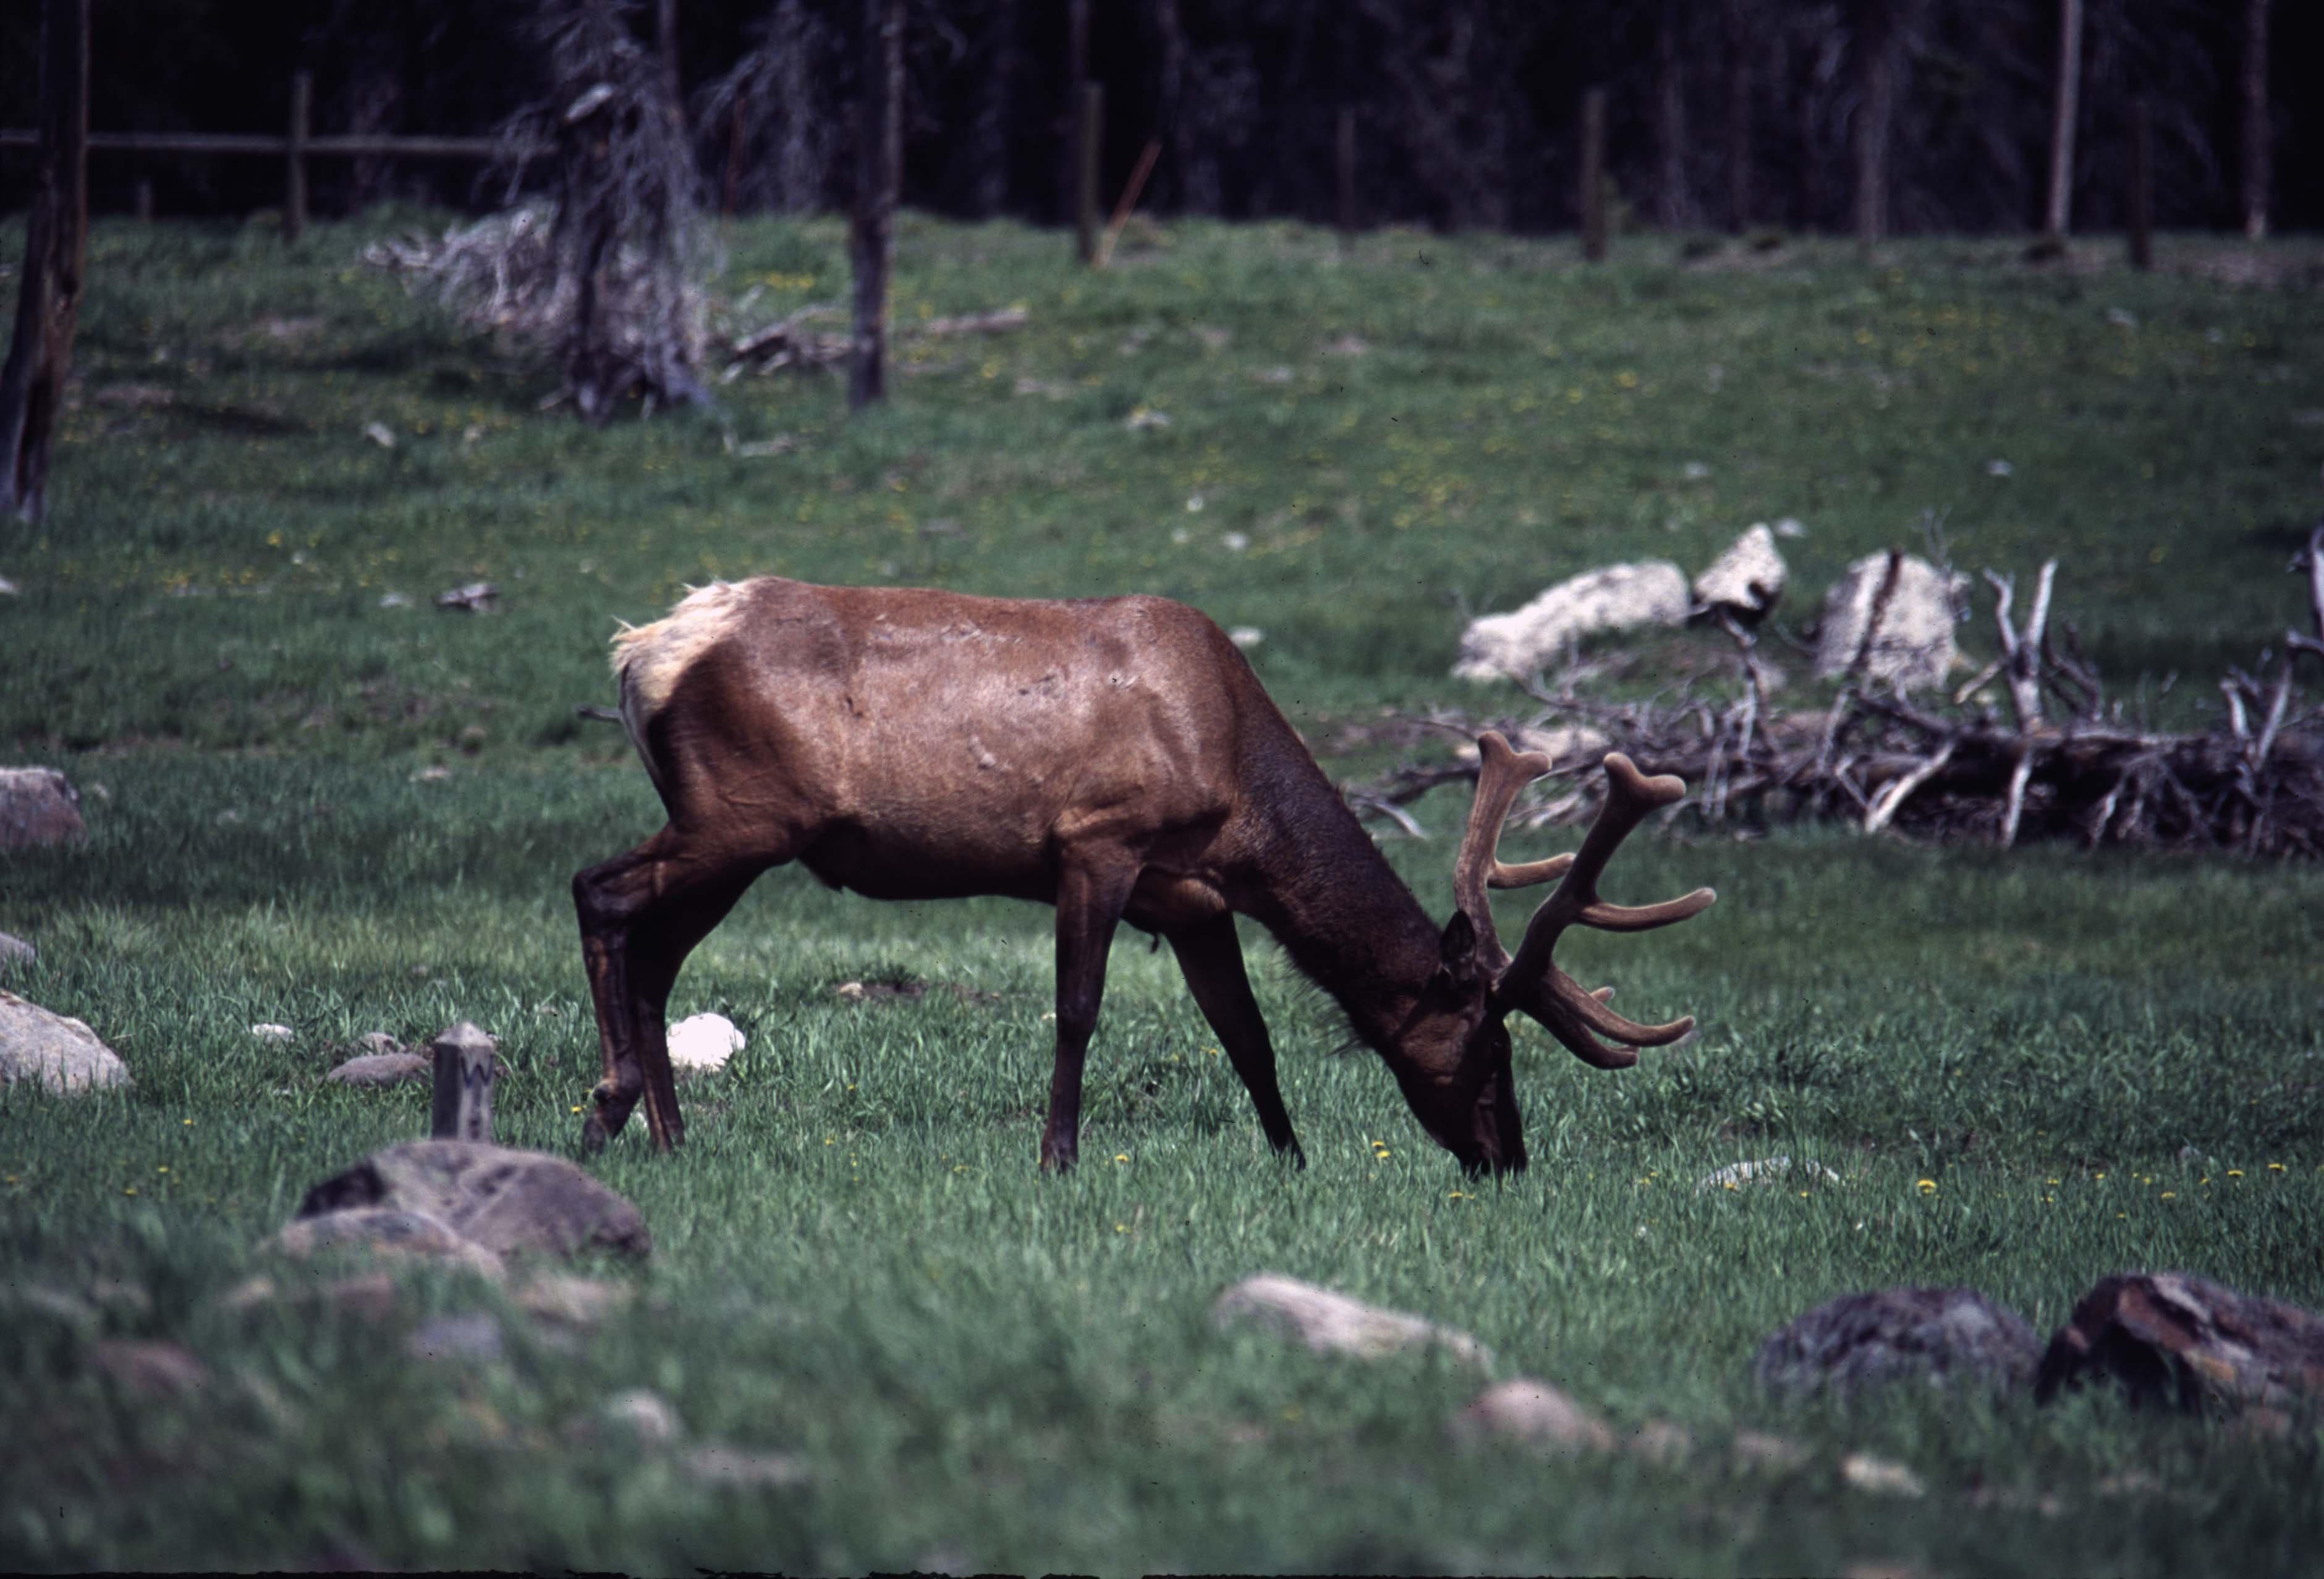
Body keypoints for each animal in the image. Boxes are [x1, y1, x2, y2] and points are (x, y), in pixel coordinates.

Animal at [574, 577, 1715, 1174]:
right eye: (1489, 1044)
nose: (1506, 1157)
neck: (1240, 790)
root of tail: (641, 651)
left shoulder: (1194, 895)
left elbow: (1247, 1034)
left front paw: (1291, 1159)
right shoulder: (1097, 840)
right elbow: (1078, 1008)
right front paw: (1057, 1158)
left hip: (738, 834)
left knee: (657, 951)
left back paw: (670, 1134)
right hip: (739, 816)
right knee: (601, 889)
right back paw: (608, 1104)